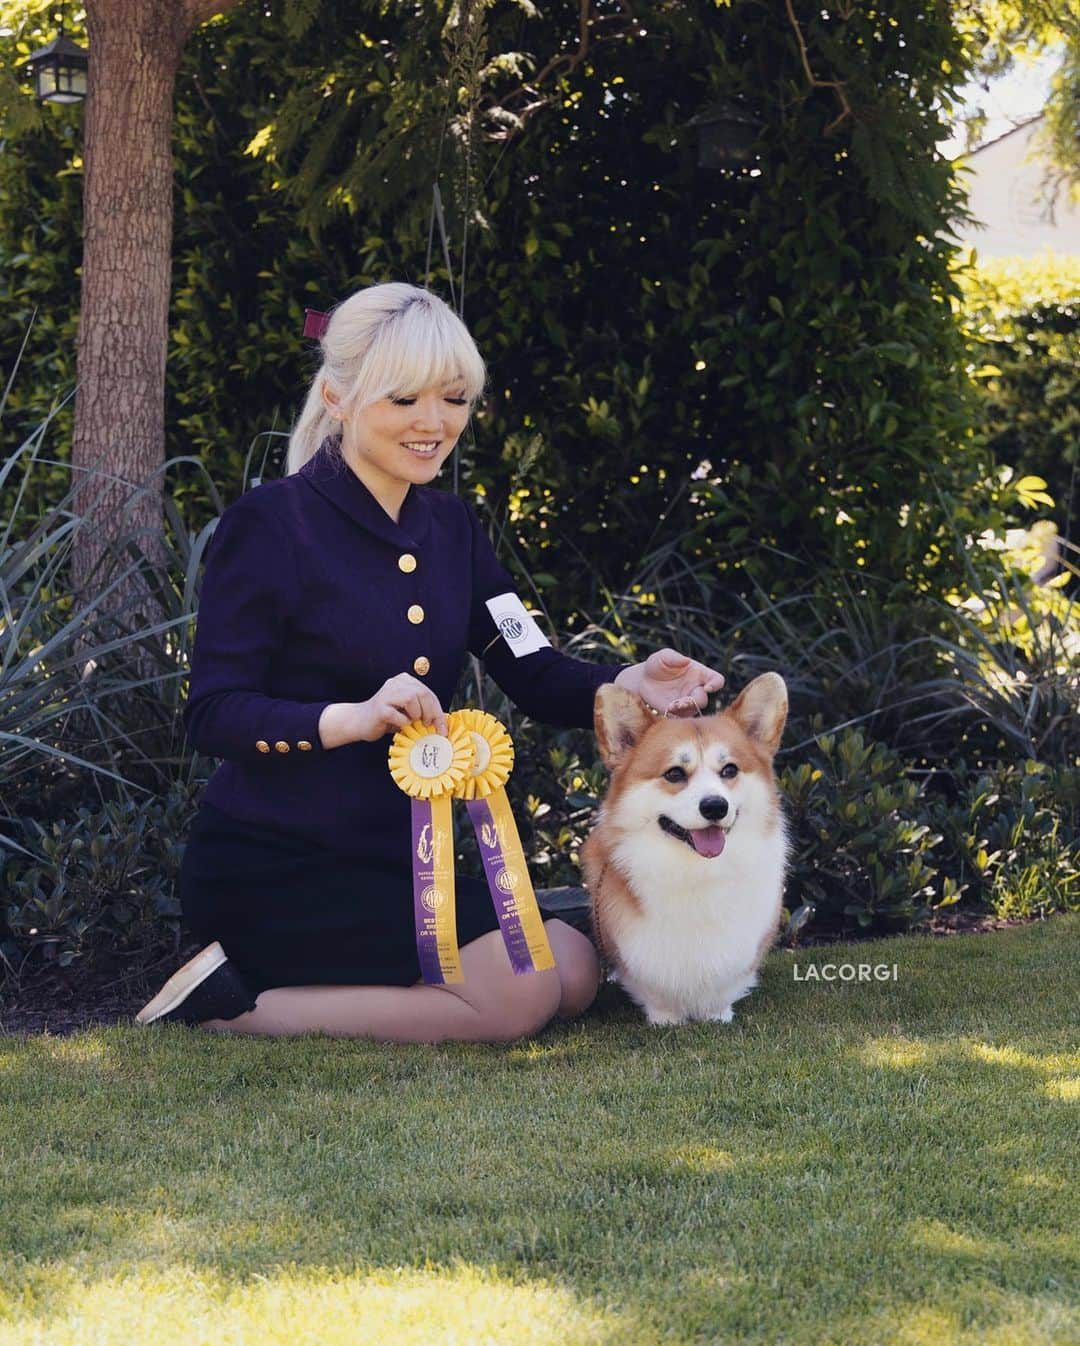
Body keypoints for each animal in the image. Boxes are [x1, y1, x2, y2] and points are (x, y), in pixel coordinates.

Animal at [581, 673, 791, 1028]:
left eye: (729, 770)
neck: (696, 871)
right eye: (674, 773)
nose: (715, 807)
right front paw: (665, 1019)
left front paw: (717, 1014)